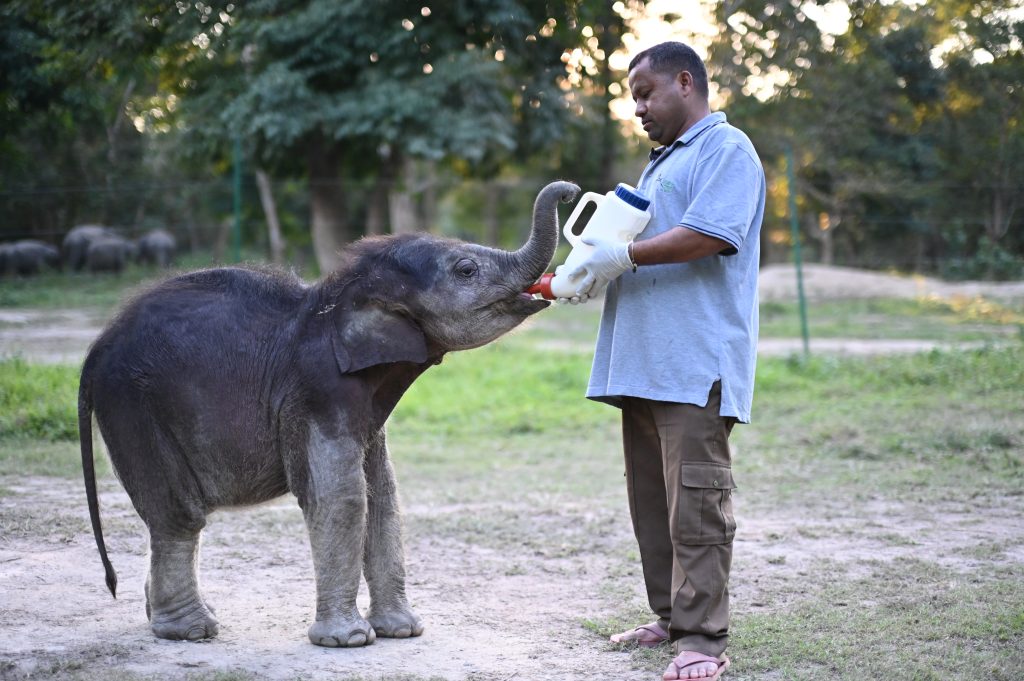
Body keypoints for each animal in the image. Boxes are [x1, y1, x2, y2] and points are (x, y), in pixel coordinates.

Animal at [79, 180, 580, 647]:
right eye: (466, 270)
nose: (571, 191)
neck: (340, 298)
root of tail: (96, 349)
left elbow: (383, 493)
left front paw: (402, 631)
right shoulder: (316, 392)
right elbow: (342, 495)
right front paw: (349, 641)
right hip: (134, 407)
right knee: (178, 514)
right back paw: (191, 630)